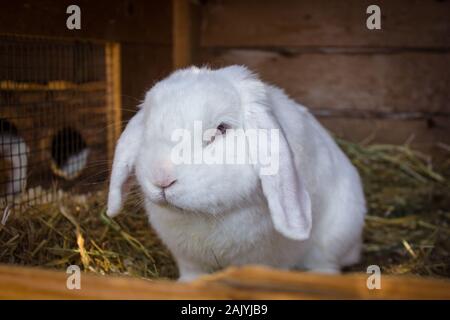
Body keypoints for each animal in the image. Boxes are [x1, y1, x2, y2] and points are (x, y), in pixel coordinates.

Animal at [107, 65, 368, 280]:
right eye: (147, 127)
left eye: (222, 129)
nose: (162, 178)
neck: (207, 215)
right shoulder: (188, 258)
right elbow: (192, 273)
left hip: (337, 234)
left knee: (327, 264)